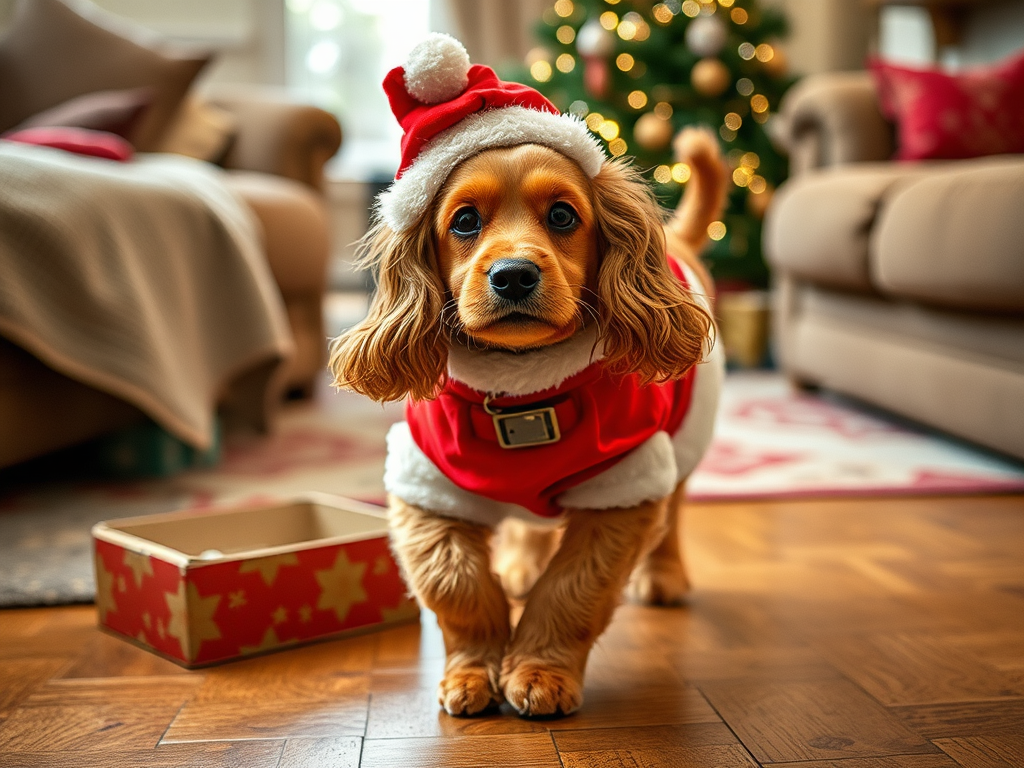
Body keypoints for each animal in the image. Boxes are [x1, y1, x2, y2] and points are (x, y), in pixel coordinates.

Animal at [327, 34, 729, 720]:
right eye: (464, 222)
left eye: (563, 216)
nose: (513, 275)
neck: (520, 393)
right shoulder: (426, 486)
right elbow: (458, 585)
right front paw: (472, 672)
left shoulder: (623, 487)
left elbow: (571, 591)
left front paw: (540, 671)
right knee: (524, 524)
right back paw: (517, 564)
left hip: (681, 446)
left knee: (673, 517)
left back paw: (664, 576)